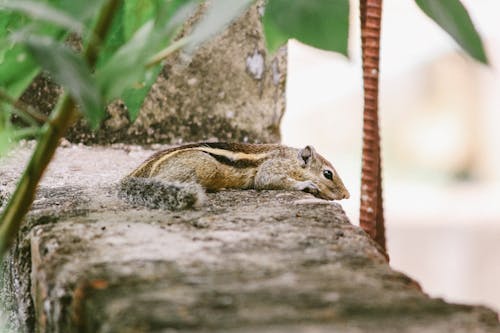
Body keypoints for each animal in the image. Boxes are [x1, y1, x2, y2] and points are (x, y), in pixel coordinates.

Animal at [118, 141, 350, 209]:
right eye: (327, 174)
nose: (347, 195)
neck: (289, 158)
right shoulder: (271, 167)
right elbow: (266, 180)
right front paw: (307, 185)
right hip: (204, 166)